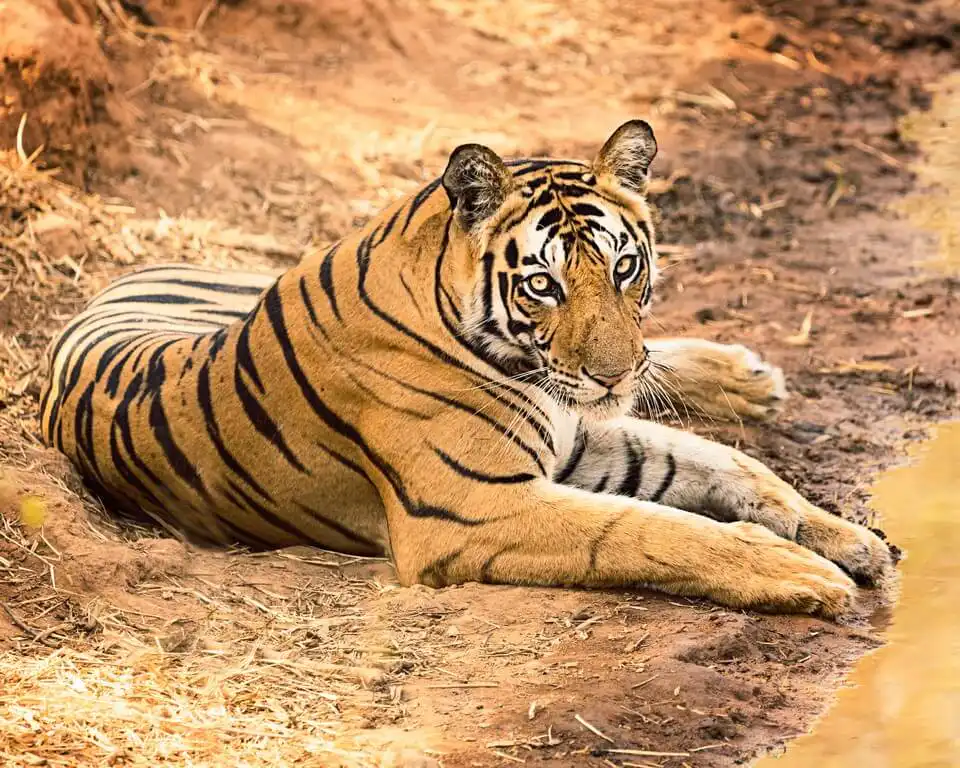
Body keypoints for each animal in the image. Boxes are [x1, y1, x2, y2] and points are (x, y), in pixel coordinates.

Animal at [39, 120, 894, 617]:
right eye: (543, 284)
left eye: (624, 267)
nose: (613, 376)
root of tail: (122, 277)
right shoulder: (474, 504)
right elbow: (649, 528)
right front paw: (800, 572)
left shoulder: (577, 436)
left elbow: (731, 468)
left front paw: (849, 538)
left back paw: (747, 377)